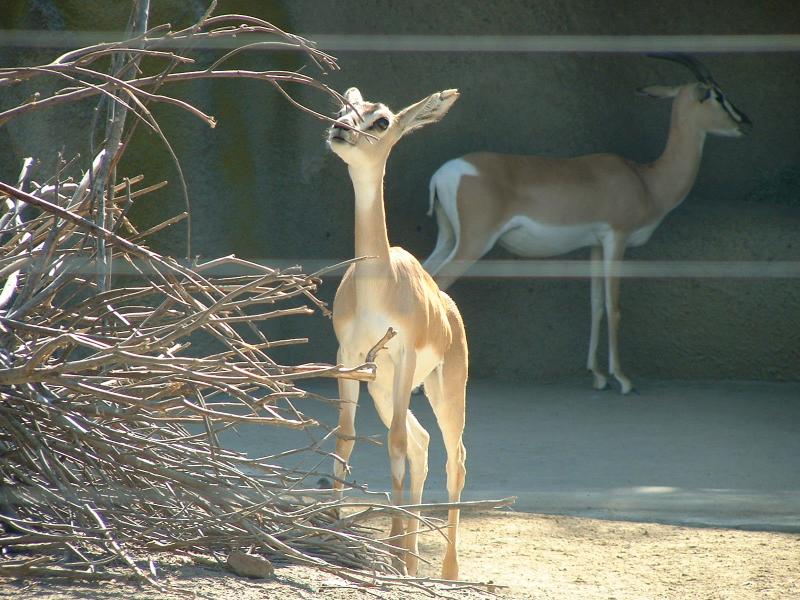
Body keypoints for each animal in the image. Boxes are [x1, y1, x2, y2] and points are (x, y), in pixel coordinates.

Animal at [326, 87, 467, 580]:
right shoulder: (347, 355)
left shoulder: (404, 354)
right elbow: (347, 436)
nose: (339, 129)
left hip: (444, 389)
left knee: (452, 458)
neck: (379, 284)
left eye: (382, 121)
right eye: (342, 109)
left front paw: (395, 557)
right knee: (422, 445)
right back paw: (409, 552)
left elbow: (397, 445)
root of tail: (448, 311)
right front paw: (332, 531)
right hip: (384, 391)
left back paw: (445, 570)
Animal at [423, 54, 751, 394]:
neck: (645, 180)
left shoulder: (595, 245)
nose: (745, 122)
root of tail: (442, 174)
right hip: (473, 243)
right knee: (438, 283)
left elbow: (596, 305)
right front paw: (623, 379)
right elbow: (613, 305)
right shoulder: (617, 239)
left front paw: (597, 375)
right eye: (716, 95)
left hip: (449, 239)